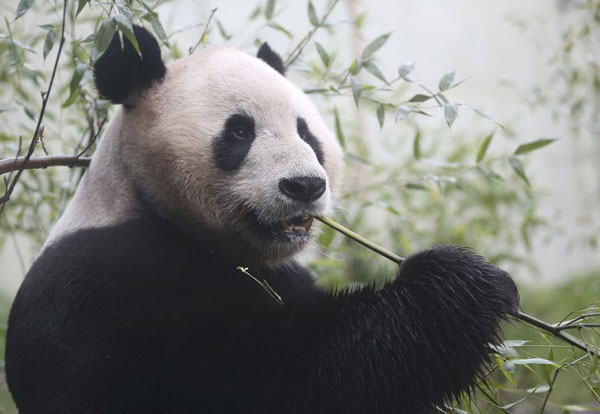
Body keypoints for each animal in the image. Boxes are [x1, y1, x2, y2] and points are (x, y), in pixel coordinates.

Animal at [4, 26, 520, 414]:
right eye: (238, 132)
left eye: (307, 133)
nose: (305, 186)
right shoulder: (104, 287)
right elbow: (267, 378)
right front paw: (459, 285)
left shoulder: (283, 273)